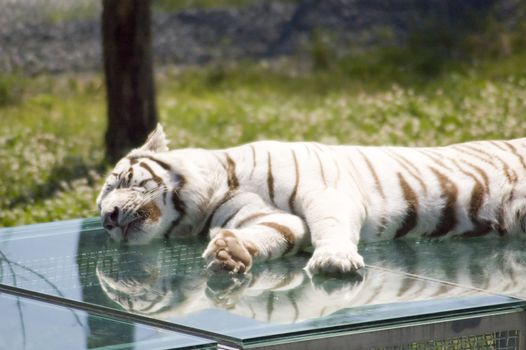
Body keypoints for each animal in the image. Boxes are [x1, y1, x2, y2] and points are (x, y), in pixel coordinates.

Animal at [96, 124, 526, 274]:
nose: (108, 218)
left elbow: (328, 225)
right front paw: (231, 254)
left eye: (121, 181)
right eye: (100, 210)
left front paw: (334, 261)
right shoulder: (272, 219)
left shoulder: (325, 190)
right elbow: (278, 232)